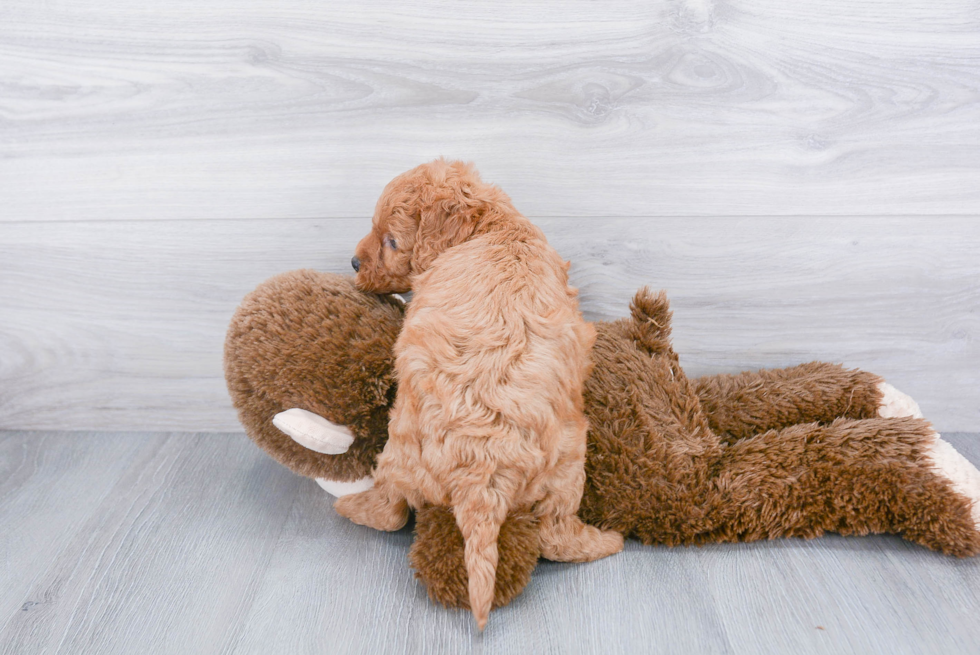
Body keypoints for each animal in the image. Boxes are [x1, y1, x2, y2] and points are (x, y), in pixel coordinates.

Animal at [334, 160, 624, 632]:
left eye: (391, 241)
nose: (355, 260)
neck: (492, 227)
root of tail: (481, 477)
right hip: (568, 460)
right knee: (555, 532)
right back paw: (607, 542)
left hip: (401, 444)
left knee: (392, 510)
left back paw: (352, 506)